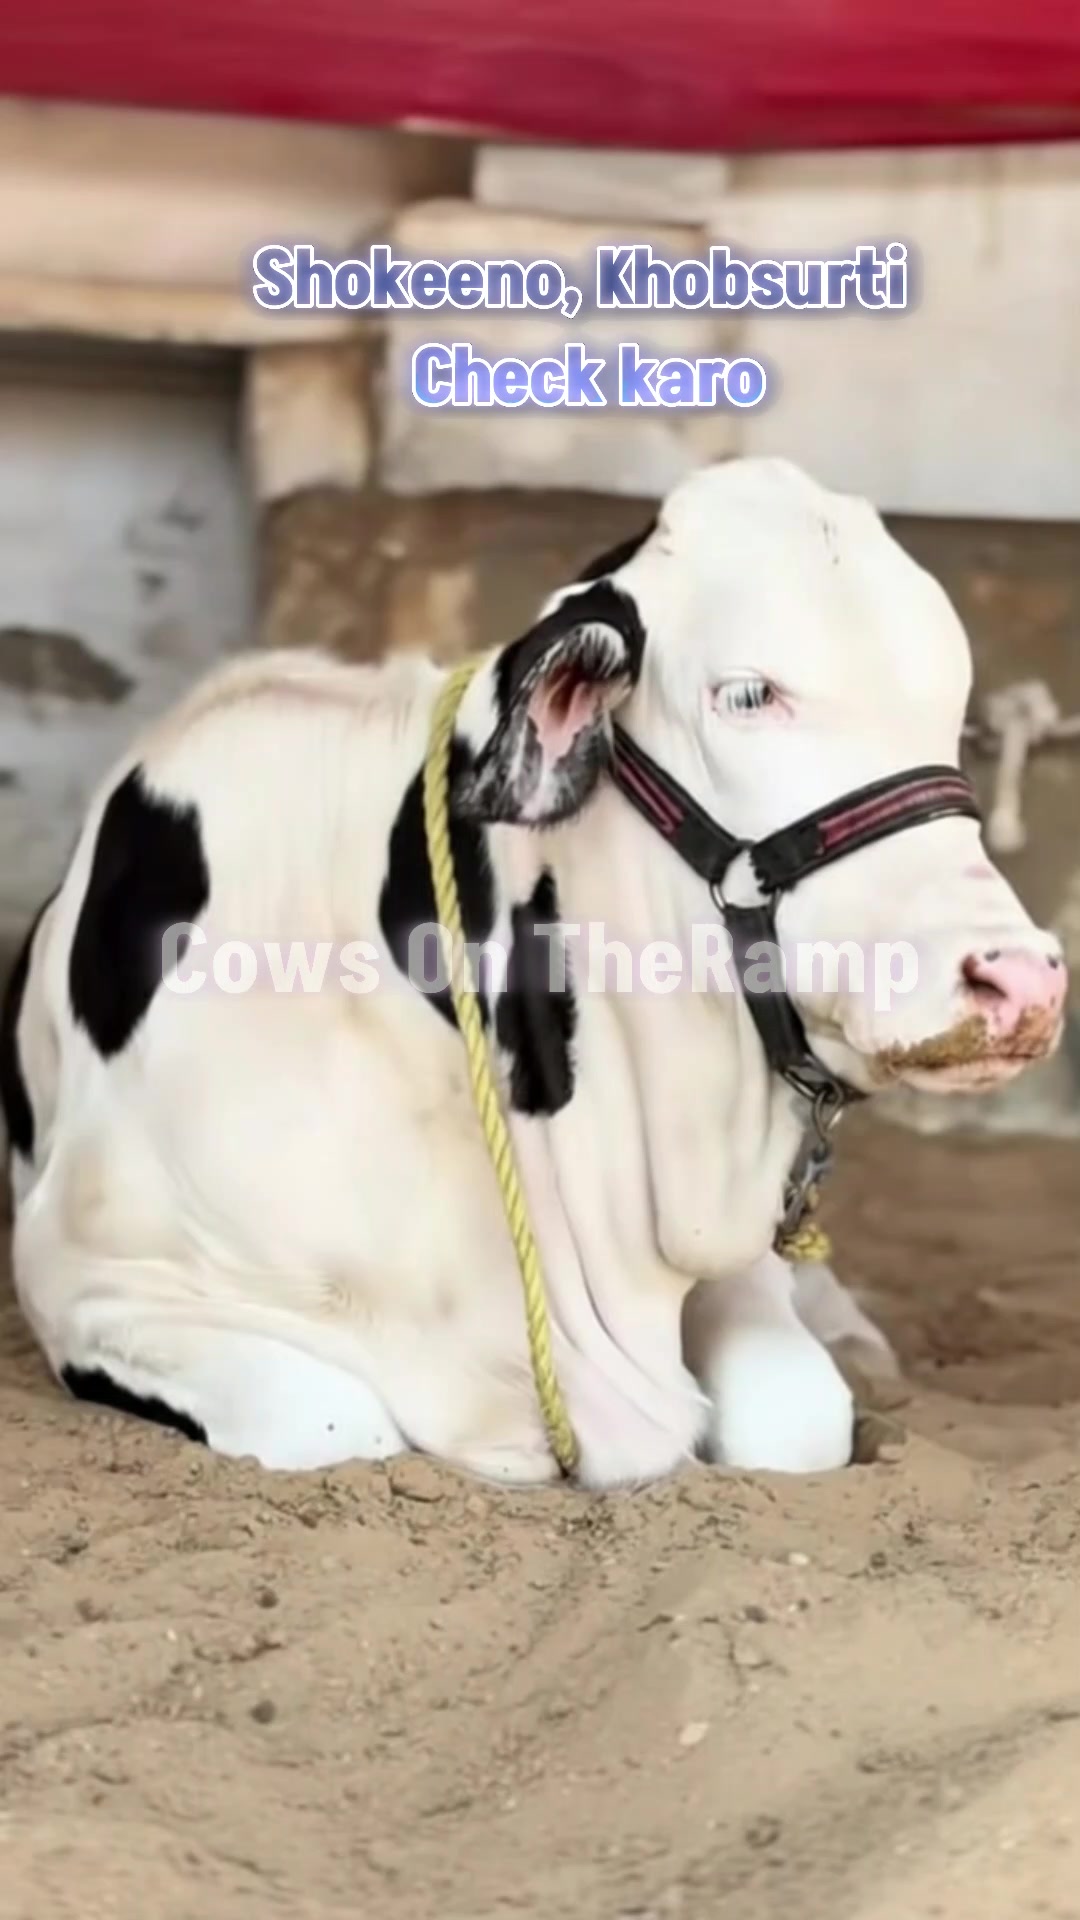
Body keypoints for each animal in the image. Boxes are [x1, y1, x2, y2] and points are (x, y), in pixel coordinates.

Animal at [0, 458, 1066, 1487]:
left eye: (951, 707)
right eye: (748, 693)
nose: (1020, 978)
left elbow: (798, 1418)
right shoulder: (88, 1271)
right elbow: (336, 1426)